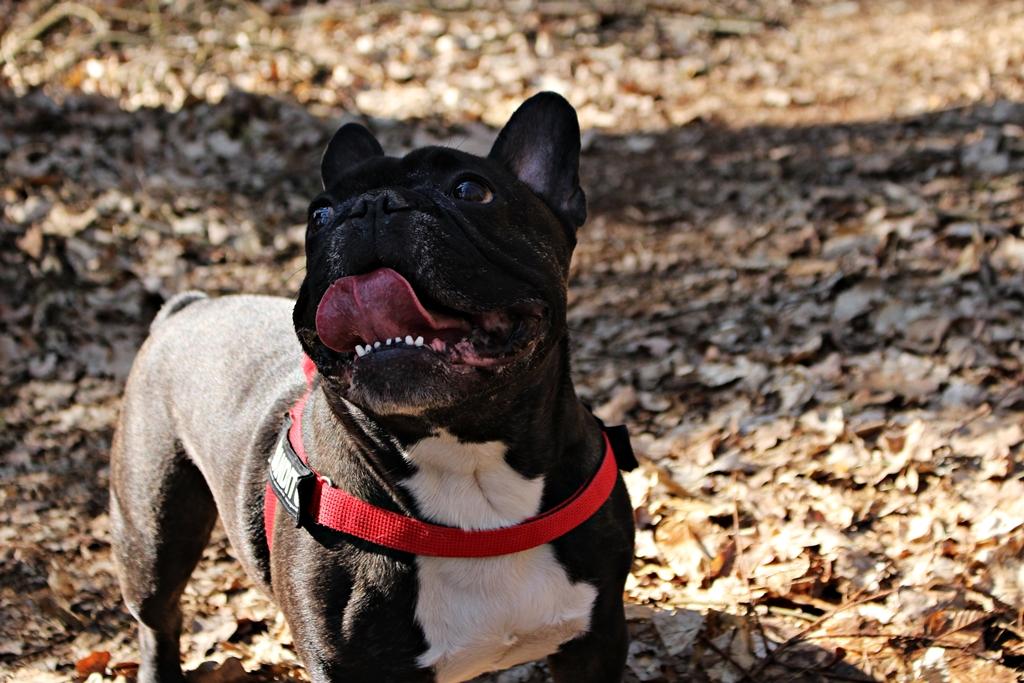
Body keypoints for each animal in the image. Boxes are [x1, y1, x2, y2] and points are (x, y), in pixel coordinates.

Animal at [110, 92, 636, 683]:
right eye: (318, 215)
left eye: (471, 190)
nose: (369, 206)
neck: (469, 464)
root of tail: (186, 307)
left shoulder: (597, 637)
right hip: (152, 530)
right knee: (158, 617)